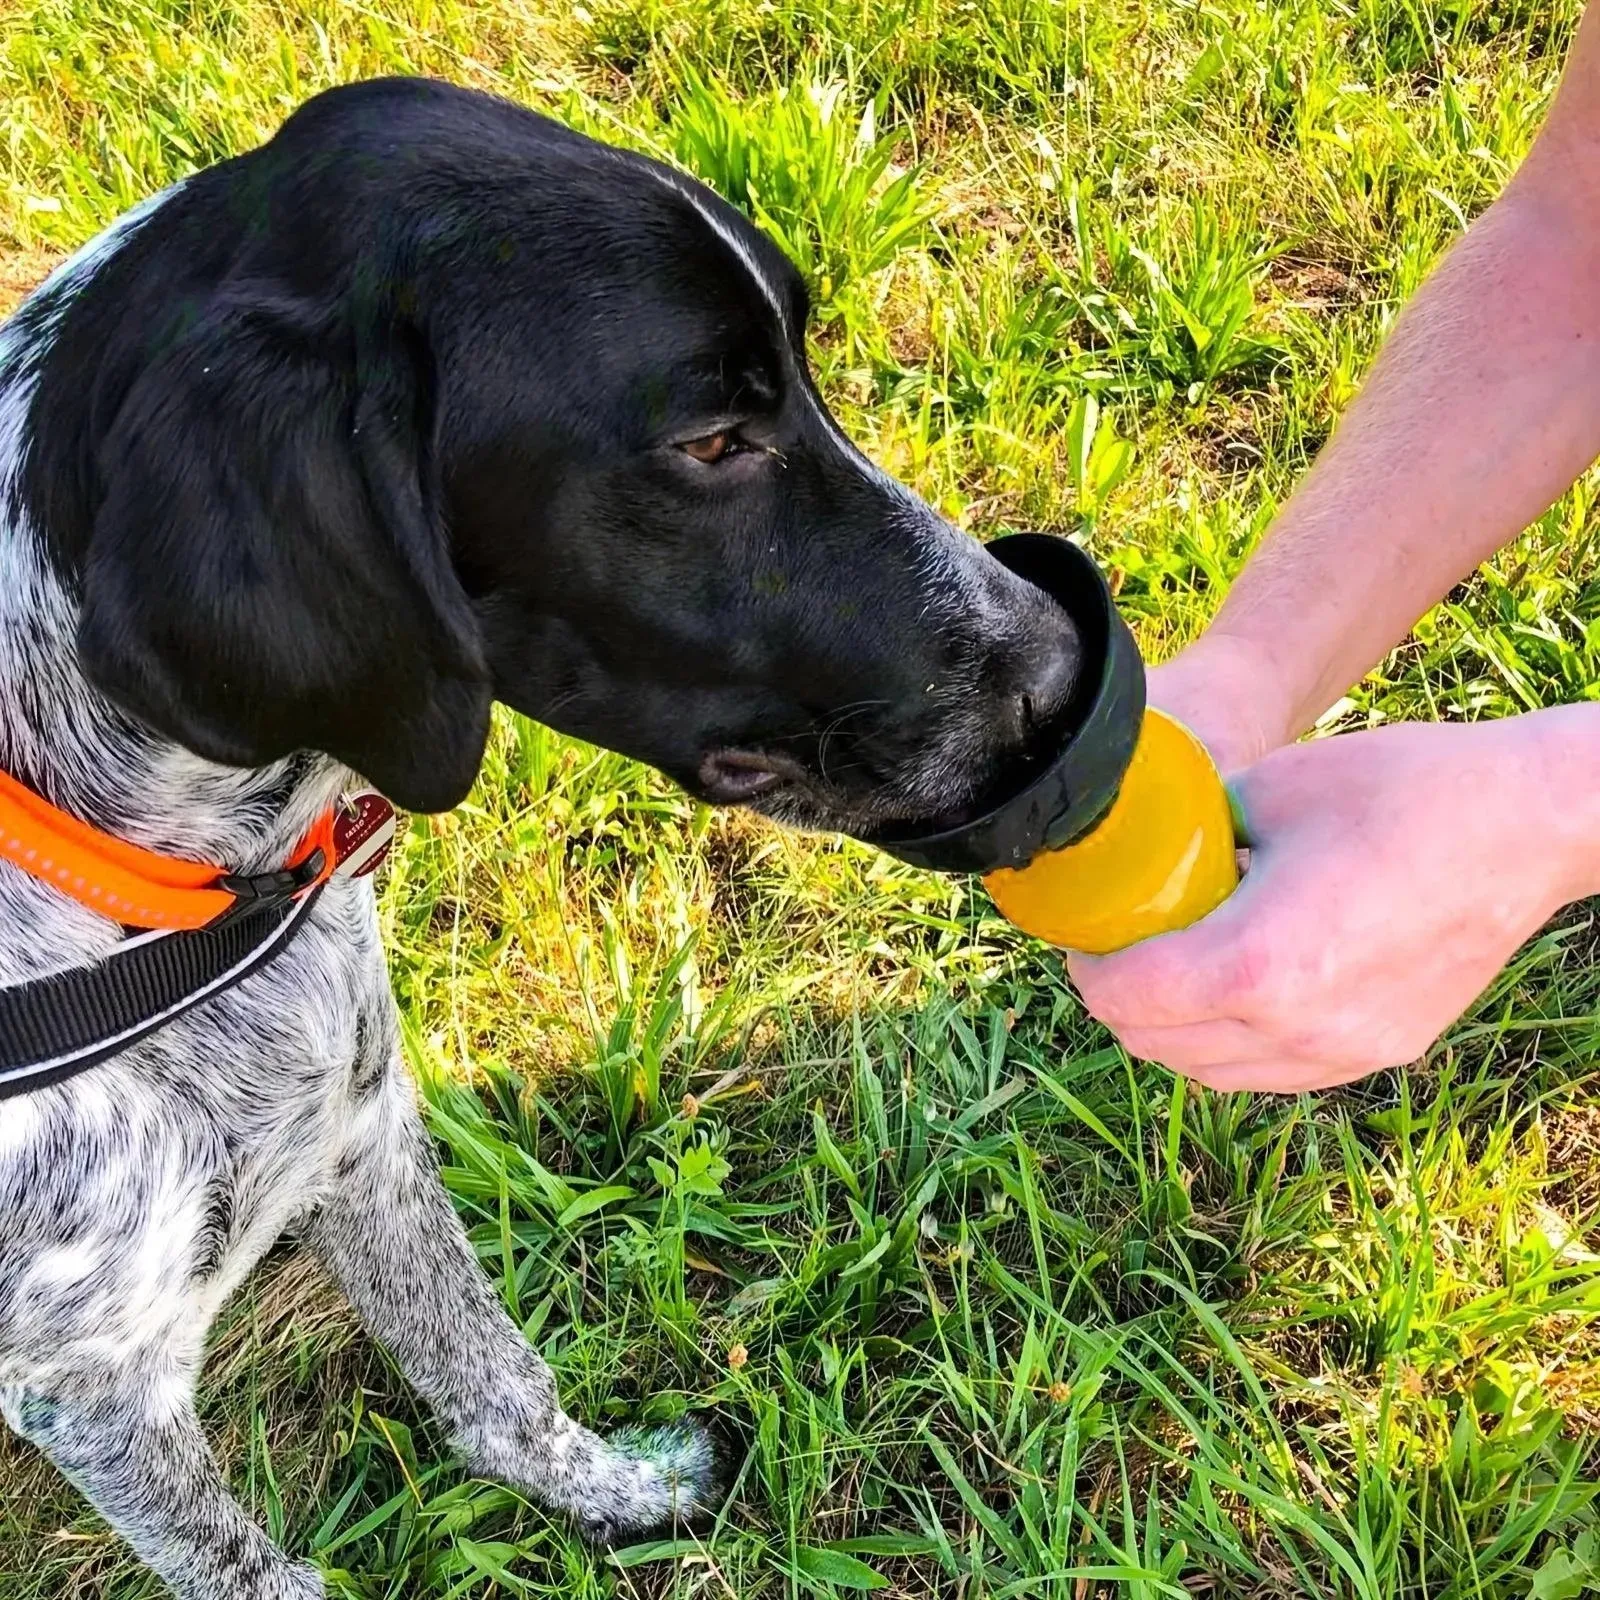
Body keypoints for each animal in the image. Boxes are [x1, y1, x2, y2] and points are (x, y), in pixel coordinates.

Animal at [0, 78, 1075, 1600]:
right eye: (709, 442)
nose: (1061, 664)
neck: (194, 895)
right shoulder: (96, 1384)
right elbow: (255, 1569)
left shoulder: (363, 1140)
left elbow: (494, 1377)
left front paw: (618, 1494)